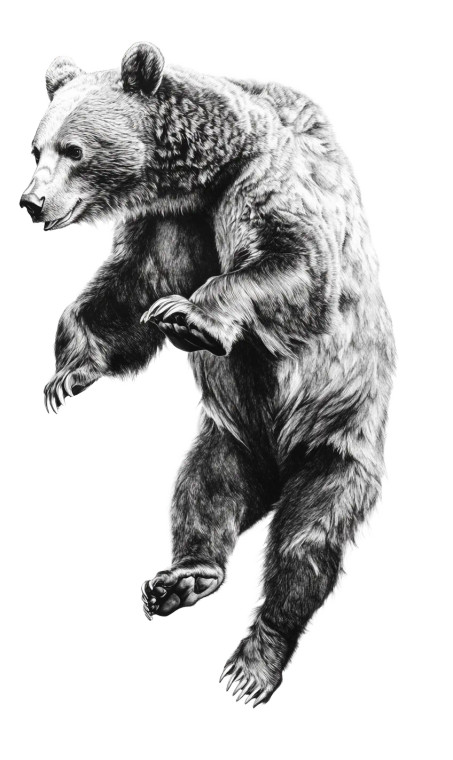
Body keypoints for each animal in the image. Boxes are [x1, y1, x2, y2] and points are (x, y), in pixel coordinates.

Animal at [20, 42, 395, 707]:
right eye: (35, 148)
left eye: (73, 149)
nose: (31, 202)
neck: (210, 167)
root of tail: (276, 468)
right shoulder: (176, 222)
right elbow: (130, 288)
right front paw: (68, 371)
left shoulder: (268, 183)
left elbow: (296, 263)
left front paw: (188, 315)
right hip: (231, 434)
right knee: (204, 490)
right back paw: (185, 577)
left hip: (340, 441)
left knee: (307, 542)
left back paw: (255, 662)